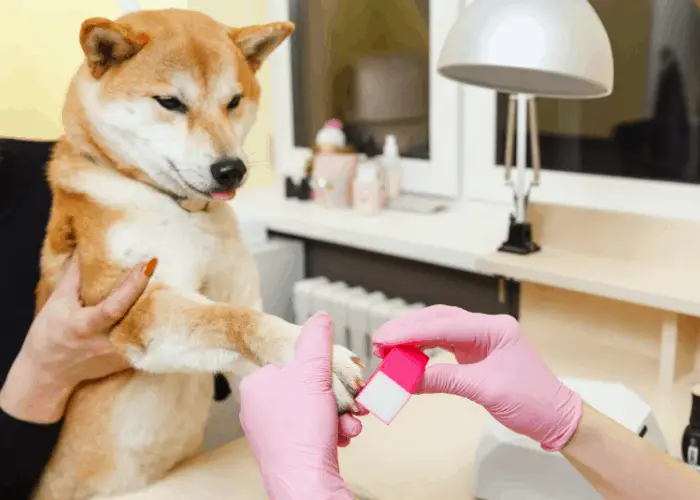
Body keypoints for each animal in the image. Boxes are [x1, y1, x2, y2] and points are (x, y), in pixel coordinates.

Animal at [30, 8, 364, 500]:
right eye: (170, 102)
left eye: (234, 101)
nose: (231, 169)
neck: (181, 211)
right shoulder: (135, 304)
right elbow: (233, 320)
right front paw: (309, 355)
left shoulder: (233, 292)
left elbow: (238, 330)